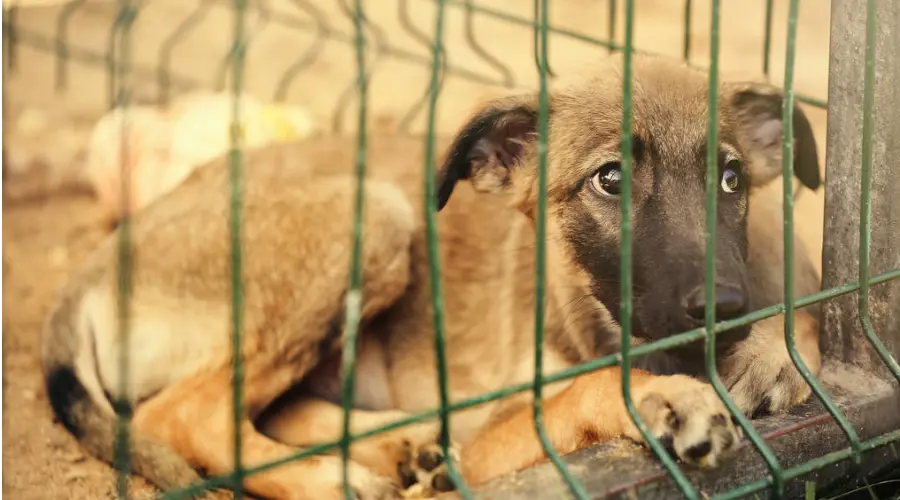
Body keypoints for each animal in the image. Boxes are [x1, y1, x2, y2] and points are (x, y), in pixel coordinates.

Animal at [47, 55, 824, 500]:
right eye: (610, 180)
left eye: (731, 179)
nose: (726, 306)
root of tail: (92, 271)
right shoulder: (495, 447)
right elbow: (583, 390)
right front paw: (658, 398)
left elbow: (808, 315)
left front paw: (775, 352)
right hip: (372, 216)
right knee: (183, 412)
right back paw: (338, 479)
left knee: (263, 406)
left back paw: (405, 446)